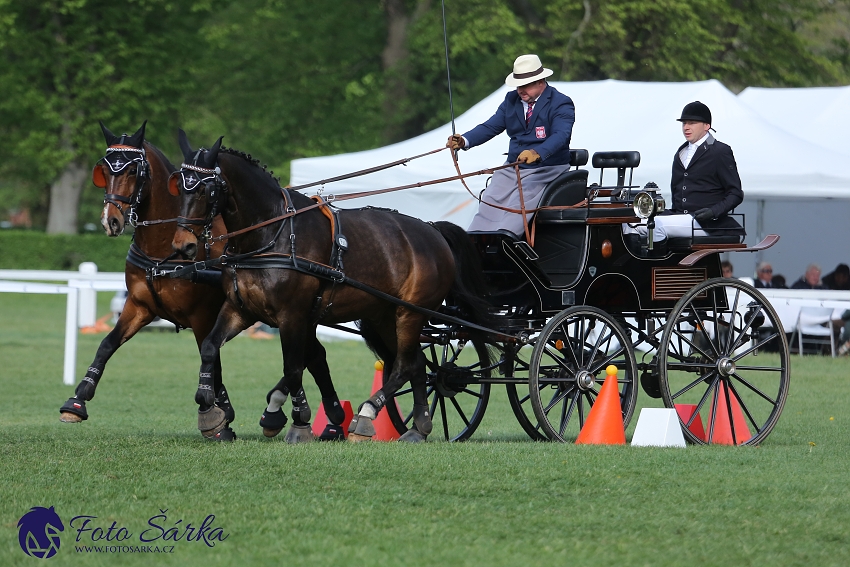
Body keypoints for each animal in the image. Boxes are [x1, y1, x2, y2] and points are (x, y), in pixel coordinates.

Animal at [168, 133, 486, 444]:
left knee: (405, 365)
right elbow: (210, 347)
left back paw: (367, 415)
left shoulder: (292, 316)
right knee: (417, 364)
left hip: (410, 314)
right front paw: (209, 411)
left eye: (205, 190)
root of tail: (433, 230)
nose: (183, 246)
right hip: (383, 316)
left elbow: (294, 368)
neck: (273, 234)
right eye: (179, 187)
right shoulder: (241, 309)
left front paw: (298, 422)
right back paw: (419, 427)